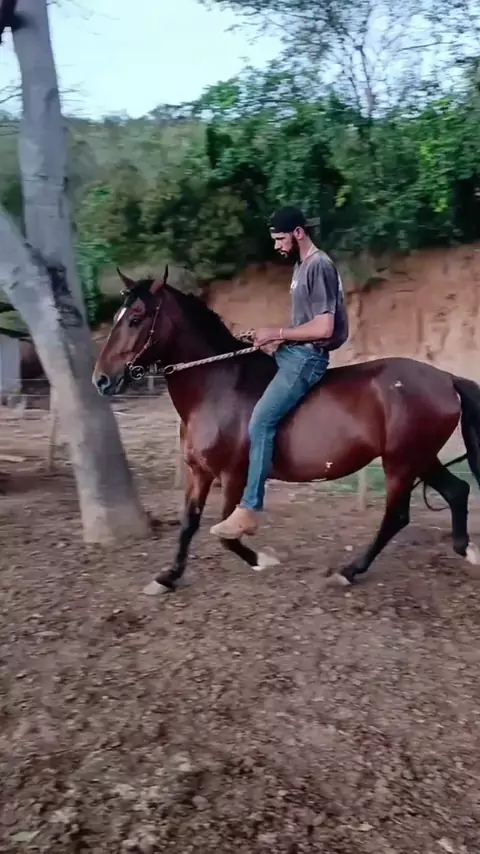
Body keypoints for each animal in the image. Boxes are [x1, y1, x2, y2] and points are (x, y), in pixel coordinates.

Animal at [92, 266, 480, 596]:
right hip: (420, 458)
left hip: (401, 462)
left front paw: (262, 560)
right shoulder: (199, 472)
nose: (101, 380)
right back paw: (465, 550)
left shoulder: (233, 475)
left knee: (397, 516)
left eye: (136, 318)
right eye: (118, 318)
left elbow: (226, 534)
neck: (219, 387)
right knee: (457, 491)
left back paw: (348, 571)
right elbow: (189, 523)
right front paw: (167, 577)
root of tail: (447, 379)